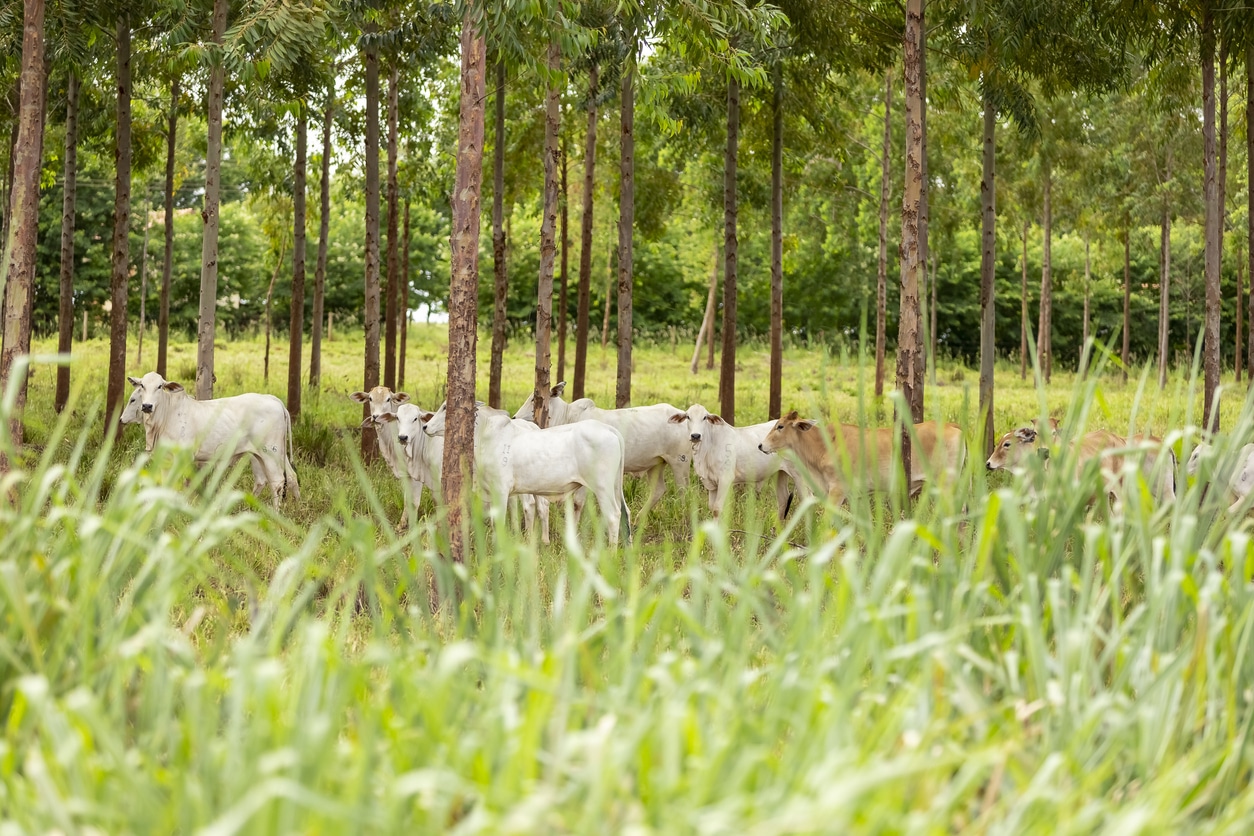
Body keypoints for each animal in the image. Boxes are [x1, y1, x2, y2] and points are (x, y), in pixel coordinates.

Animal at [127, 373, 300, 506]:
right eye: (142, 385)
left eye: (160, 386)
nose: (147, 406)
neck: (165, 416)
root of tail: (274, 400)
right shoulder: (165, 458)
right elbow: (165, 484)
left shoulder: (184, 456)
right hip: (274, 453)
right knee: (290, 477)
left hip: (270, 452)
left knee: (277, 481)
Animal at [428, 403, 627, 546]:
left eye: (446, 407)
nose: (425, 426)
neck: (483, 436)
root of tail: (609, 430)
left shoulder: (501, 490)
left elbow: (500, 520)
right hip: (613, 487)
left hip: (602, 487)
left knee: (613, 516)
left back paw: (611, 552)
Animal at [511, 381, 697, 516]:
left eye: (534, 399)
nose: (514, 416)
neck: (567, 416)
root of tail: (684, 415)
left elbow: (578, 503)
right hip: (656, 464)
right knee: (658, 490)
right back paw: (639, 519)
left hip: (680, 462)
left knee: (683, 490)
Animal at [752, 413, 968, 506]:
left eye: (780, 426)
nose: (761, 445)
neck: (823, 445)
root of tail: (952, 425)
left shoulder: (837, 491)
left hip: (947, 485)